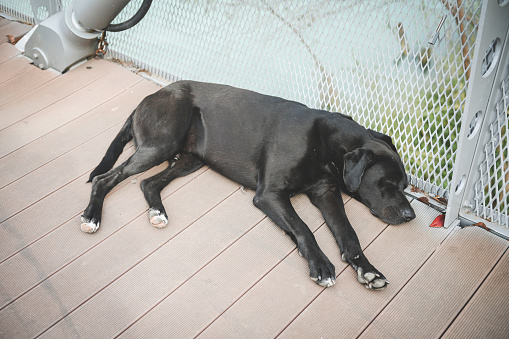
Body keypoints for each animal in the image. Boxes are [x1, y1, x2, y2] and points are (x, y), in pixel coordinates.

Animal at [81, 80, 414, 290]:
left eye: (406, 184)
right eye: (386, 182)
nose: (410, 216)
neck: (326, 144)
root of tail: (147, 98)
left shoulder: (326, 193)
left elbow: (348, 234)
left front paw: (368, 270)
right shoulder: (269, 195)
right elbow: (303, 227)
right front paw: (320, 265)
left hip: (190, 160)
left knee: (149, 183)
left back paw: (157, 212)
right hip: (160, 145)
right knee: (104, 178)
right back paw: (91, 216)